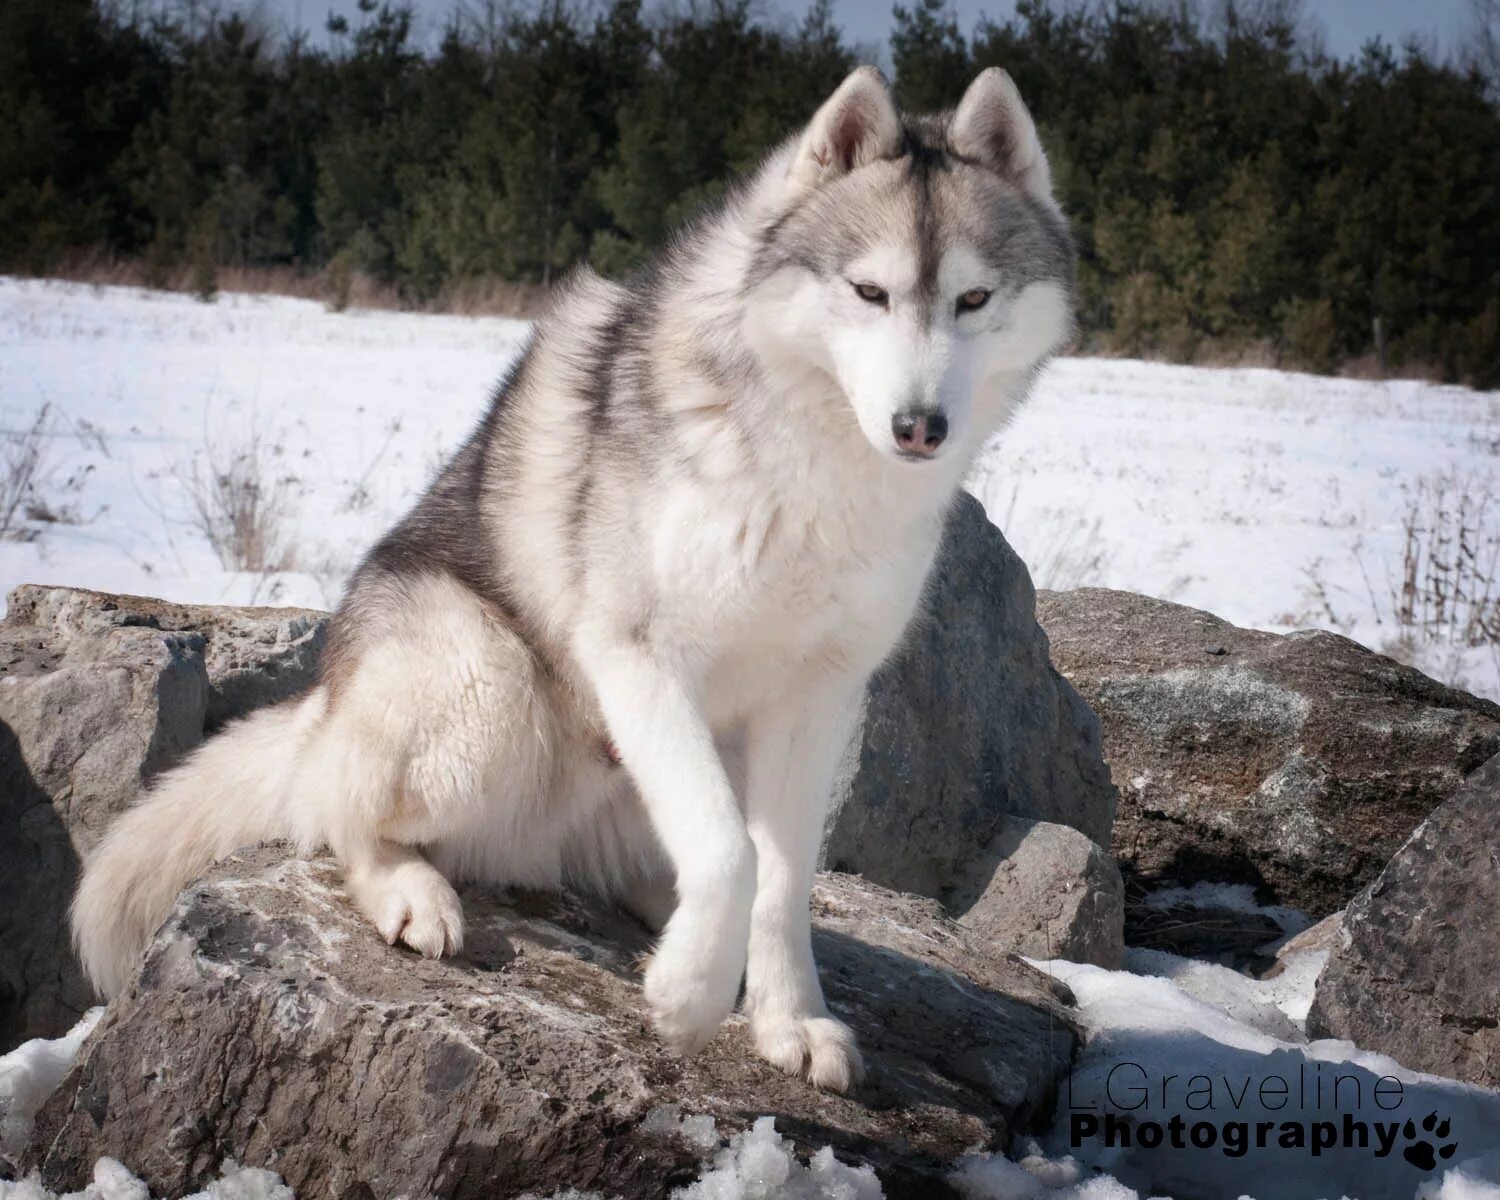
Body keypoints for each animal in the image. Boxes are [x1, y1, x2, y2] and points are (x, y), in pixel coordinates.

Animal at [76, 67, 1074, 1098]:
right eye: (869, 292)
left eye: (973, 298)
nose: (921, 426)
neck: (813, 473)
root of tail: (323, 699)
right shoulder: (637, 654)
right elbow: (729, 853)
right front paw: (687, 997)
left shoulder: (819, 698)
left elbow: (778, 874)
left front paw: (790, 1016)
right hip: (487, 693)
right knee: (335, 808)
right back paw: (416, 893)